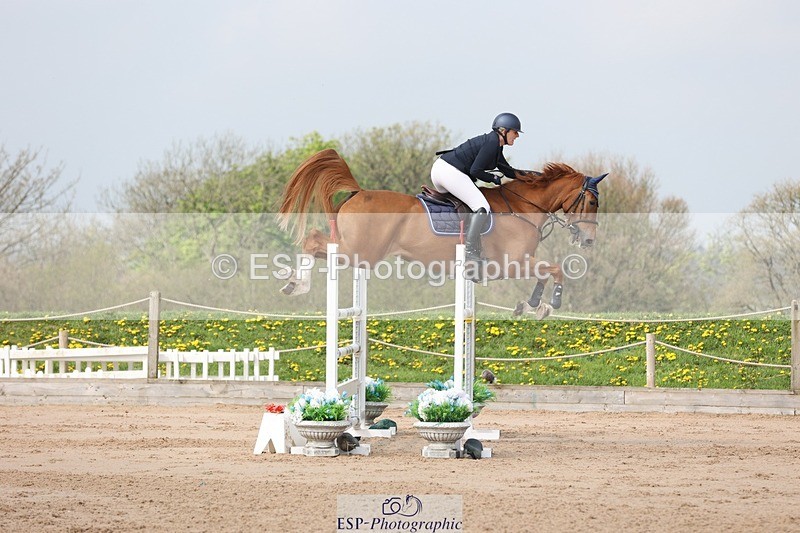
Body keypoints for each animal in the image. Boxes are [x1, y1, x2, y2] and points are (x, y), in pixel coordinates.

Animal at [277, 149, 606, 317]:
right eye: (592, 202)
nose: (589, 240)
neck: (523, 207)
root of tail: (359, 192)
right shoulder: (511, 263)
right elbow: (555, 269)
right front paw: (552, 303)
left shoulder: (519, 263)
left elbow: (545, 273)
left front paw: (532, 305)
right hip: (362, 252)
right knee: (313, 240)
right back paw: (297, 284)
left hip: (359, 252)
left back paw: (294, 282)